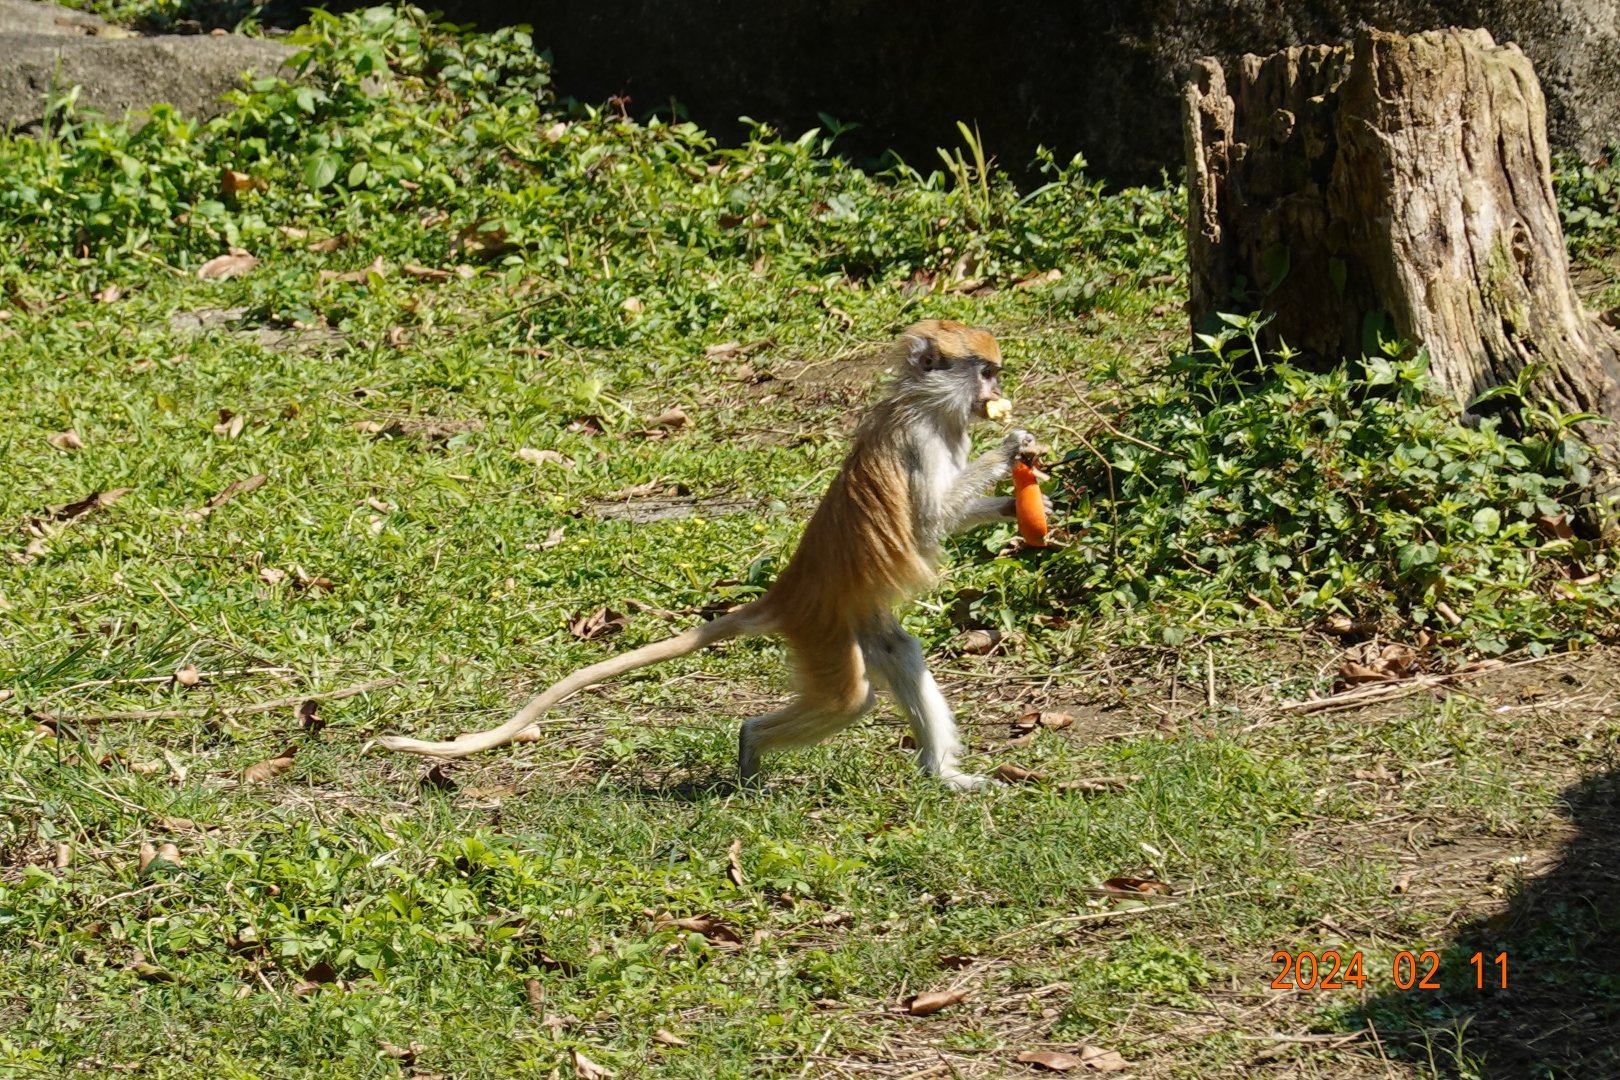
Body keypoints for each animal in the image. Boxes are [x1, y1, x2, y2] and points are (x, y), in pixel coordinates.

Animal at [377, 319, 1039, 790]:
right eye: (986, 373)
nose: (999, 394)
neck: (928, 404)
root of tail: (790, 590)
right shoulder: (919, 441)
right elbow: (928, 522)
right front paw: (1014, 450)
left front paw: (1021, 505)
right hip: (821, 629)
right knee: (849, 697)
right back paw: (750, 743)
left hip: (849, 616)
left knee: (900, 653)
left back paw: (942, 775)